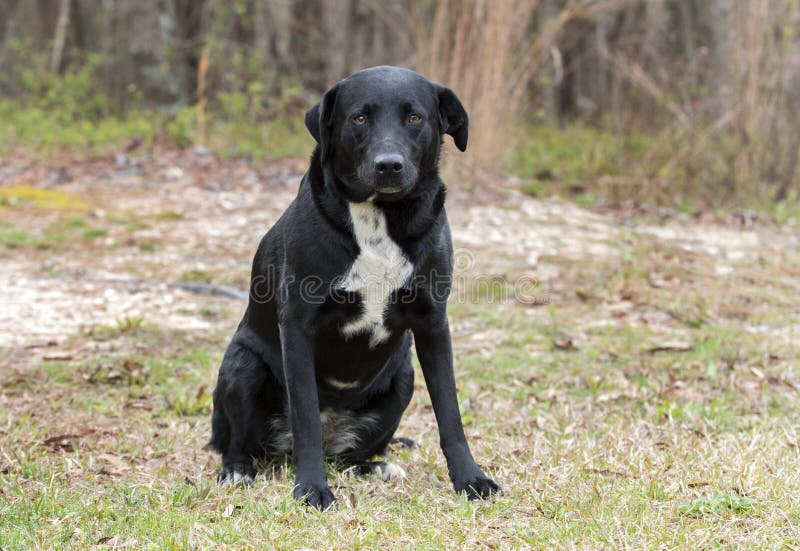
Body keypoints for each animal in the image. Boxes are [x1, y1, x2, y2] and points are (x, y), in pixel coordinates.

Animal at [211, 67, 500, 512]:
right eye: (359, 118)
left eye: (415, 118)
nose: (389, 166)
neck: (379, 217)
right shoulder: (298, 325)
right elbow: (306, 416)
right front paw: (312, 488)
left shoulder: (433, 323)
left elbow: (450, 414)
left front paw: (470, 479)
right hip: (243, 367)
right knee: (241, 444)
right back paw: (238, 470)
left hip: (402, 376)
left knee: (349, 457)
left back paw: (376, 467)